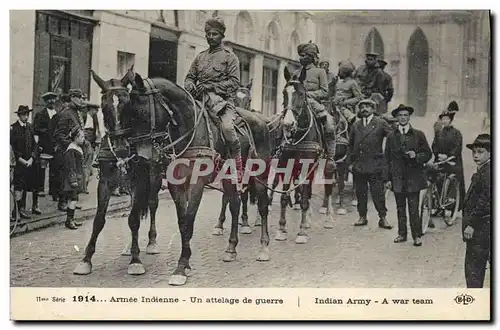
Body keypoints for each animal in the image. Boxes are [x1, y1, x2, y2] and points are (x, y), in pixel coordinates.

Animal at [76, 69, 274, 286]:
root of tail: (261, 121)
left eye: (138, 112)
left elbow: (184, 220)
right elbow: (102, 219)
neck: (188, 129)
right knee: (234, 204)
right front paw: (86, 260)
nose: (125, 149)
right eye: (104, 107)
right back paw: (230, 248)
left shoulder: (192, 183)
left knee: (262, 205)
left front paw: (179, 266)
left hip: (257, 175)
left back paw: (263, 247)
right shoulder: (119, 181)